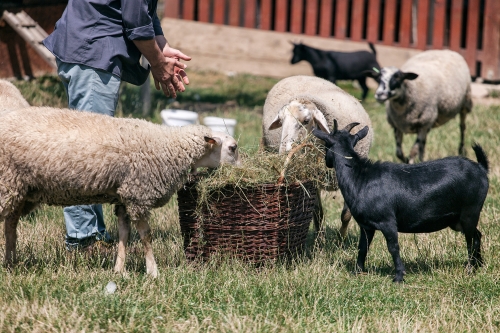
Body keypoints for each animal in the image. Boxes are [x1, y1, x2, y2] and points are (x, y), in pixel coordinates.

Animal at [0, 106, 240, 274]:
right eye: (233, 148)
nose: (243, 168)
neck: (169, 146)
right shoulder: (138, 194)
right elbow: (146, 236)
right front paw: (153, 271)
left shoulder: (125, 196)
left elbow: (125, 234)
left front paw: (119, 270)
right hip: (7, 183)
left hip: (20, 191)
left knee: (11, 226)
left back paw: (11, 263)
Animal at [262, 75, 372, 236]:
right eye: (281, 121)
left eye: (306, 121)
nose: (284, 152)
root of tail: (296, 76)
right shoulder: (312, 180)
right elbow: (318, 213)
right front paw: (320, 239)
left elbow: (346, 214)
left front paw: (341, 238)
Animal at [314, 120, 490, 282]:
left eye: (326, 145)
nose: (326, 162)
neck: (361, 177)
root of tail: (481, 168)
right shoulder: (366, 225)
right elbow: (362, 247)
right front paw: (357, 271)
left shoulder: (387, 221)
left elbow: (393, 247)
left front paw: (399, 276)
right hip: (457, 219)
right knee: (477, 235)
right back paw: (478, 265)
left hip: (470, 211)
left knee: (471, 240)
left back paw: (470, 270)